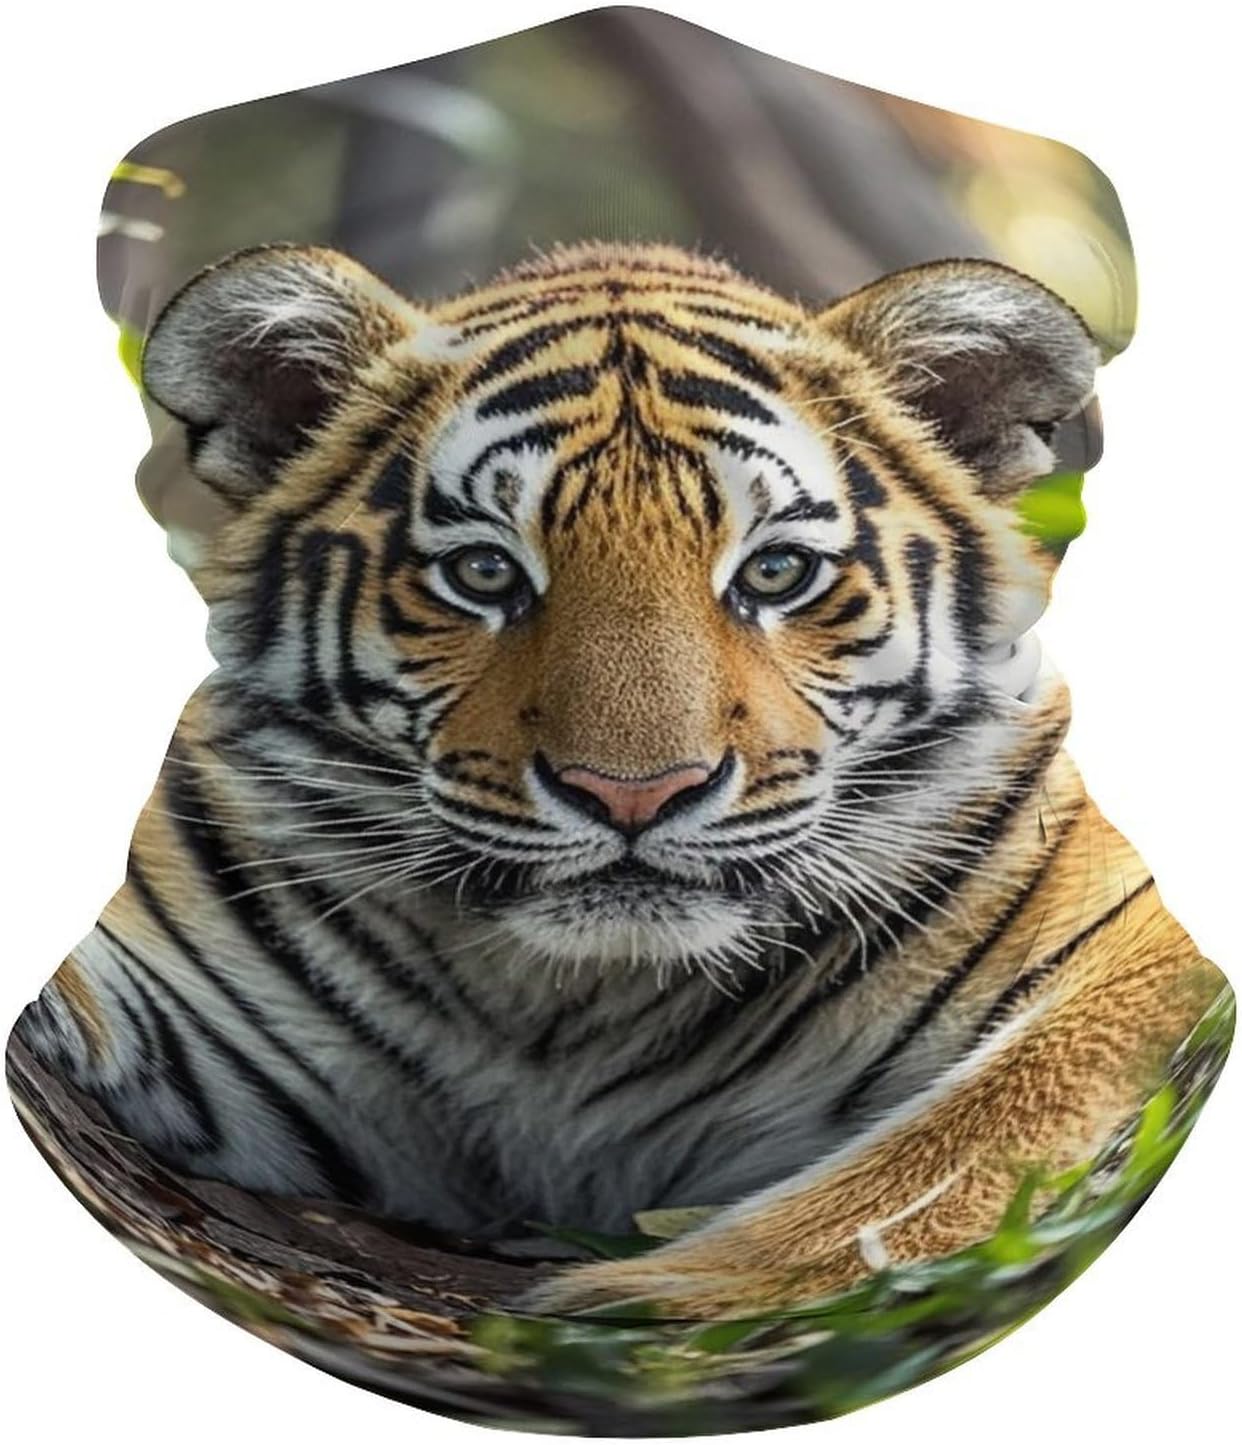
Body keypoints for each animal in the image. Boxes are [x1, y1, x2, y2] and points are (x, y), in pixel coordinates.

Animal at [11, 240, 1227, 1319]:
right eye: (483, 571)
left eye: (776, 571)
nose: (633, 793)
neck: (570, 1008)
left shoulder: (1137, 952)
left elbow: (979, 1129)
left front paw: (653, 1300)